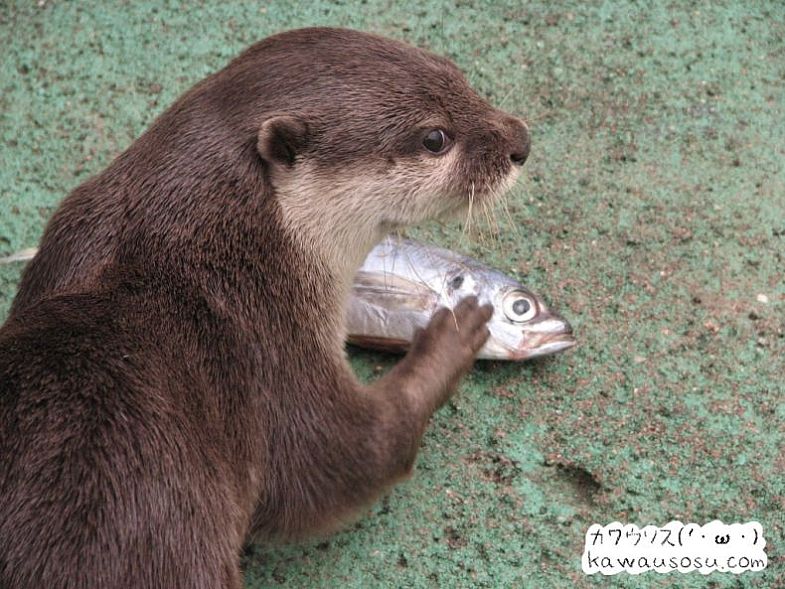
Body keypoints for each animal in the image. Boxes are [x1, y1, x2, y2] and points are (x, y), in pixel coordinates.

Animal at [0, 28, 530, 588]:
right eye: (435, 138)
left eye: (457, 74)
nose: (521, 142)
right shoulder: (266, 341)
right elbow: (345, 458)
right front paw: (455, 330)